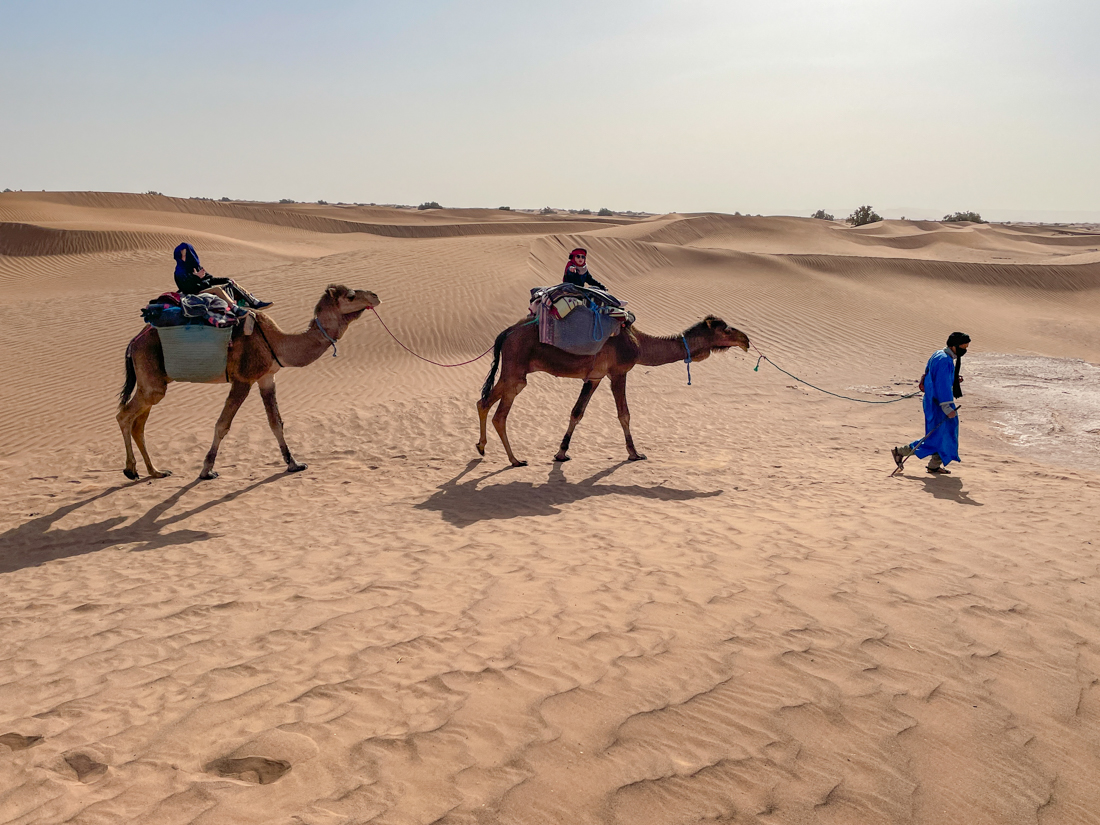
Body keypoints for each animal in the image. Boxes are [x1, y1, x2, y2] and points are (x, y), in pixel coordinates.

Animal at [117, 286, 380, 481]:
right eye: (351, 296)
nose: (375, 296)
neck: (276, 342)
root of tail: (133, 342)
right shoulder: (243, 379)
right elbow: (222, 425)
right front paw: (206, 471)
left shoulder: (266, 378)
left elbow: (276, 423)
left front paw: (294, 464)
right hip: (151, 375)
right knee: (124, 415)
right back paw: (130, 470)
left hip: (153, 382)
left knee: (138, 423)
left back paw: (156, 471)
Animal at [477, 316, 752, 468]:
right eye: (726, 329)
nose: (746, 340)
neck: (639, 344)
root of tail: (506, 333)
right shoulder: (619, 372)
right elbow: (624, 414)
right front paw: (634, 453)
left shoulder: (595, 376)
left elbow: (577, 412)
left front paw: (561, 453)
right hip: (516, 369)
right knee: (497, 412)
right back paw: (514, 460)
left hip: (514, 369)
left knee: (484, 403)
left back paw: (483, 448)